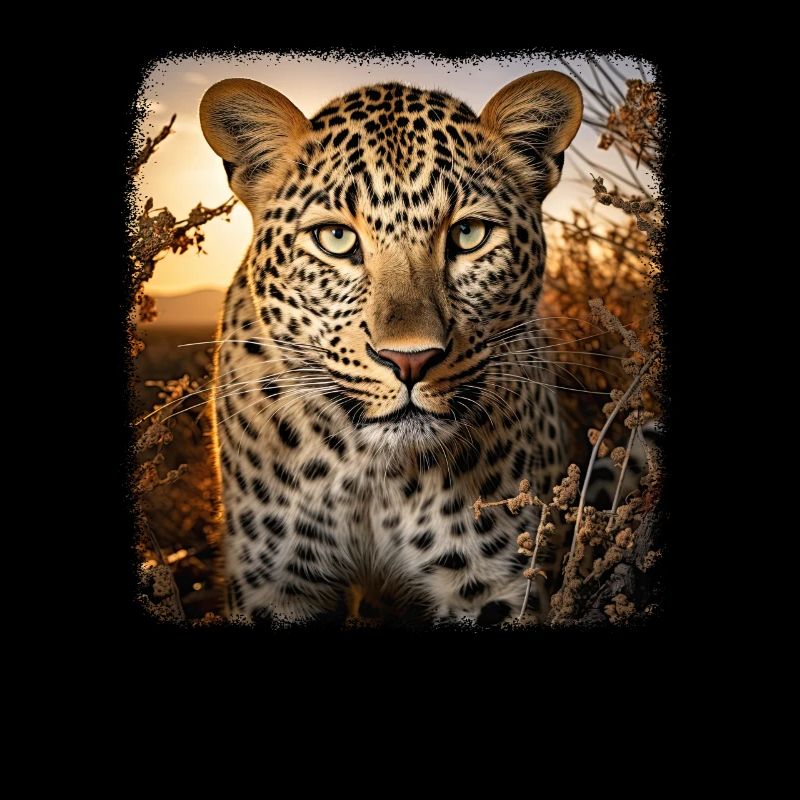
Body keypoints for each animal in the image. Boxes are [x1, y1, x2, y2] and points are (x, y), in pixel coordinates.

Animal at [199, 71, 583, 625]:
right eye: (336, 238)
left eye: (469, 233)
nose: (410, 360)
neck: (376, 478)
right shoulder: (276, 582)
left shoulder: (494, 583)